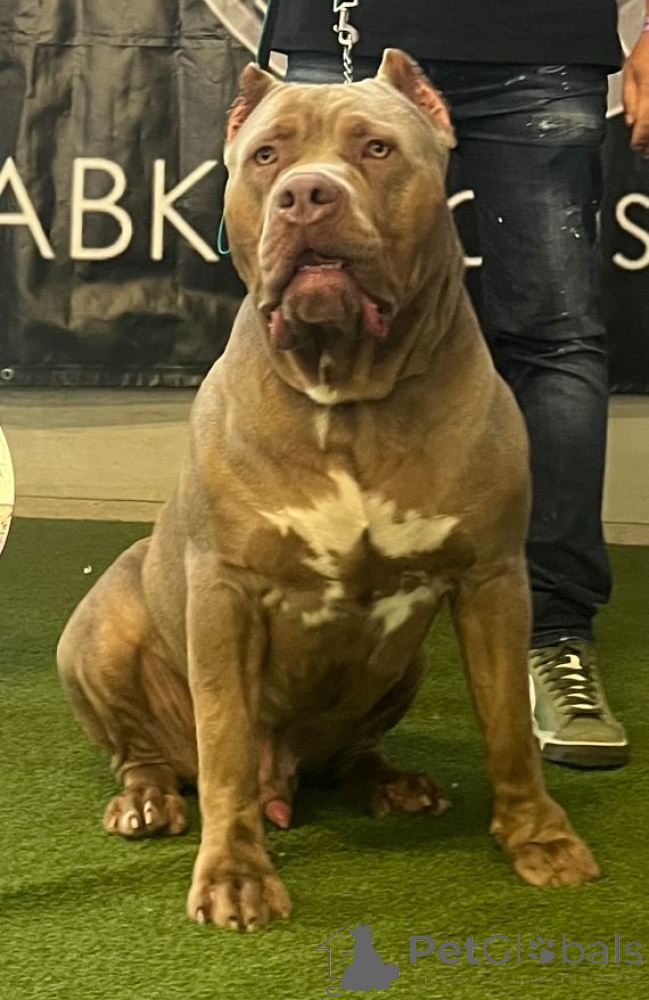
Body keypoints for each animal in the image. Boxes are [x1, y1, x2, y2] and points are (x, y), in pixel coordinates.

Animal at [57, 49, 599, 932]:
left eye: (375, 149)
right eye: (267, 156)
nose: (306, 194)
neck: (348, 390)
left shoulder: (491, 580)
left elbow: (508, 730)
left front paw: (538, 838)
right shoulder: (224, 595)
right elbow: (226, 745)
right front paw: (235, 875)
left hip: (403, 664)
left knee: (354, 750)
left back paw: (390, 783)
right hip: (100, 632)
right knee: (149, 754)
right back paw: (145, 801)